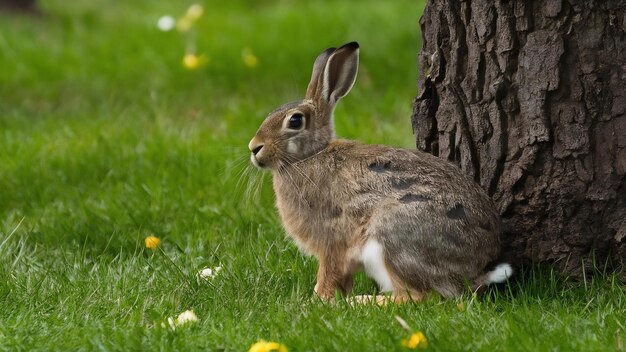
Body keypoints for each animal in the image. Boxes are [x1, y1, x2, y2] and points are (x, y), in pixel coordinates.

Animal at [246, 42, 510, 302]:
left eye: (295, 121)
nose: (254, 147)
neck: (310, 155)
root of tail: (477, 271)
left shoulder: (332, 240)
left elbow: (328, 273)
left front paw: (319, 300)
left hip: (392, 235)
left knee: (416, 297)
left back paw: (361, 301)